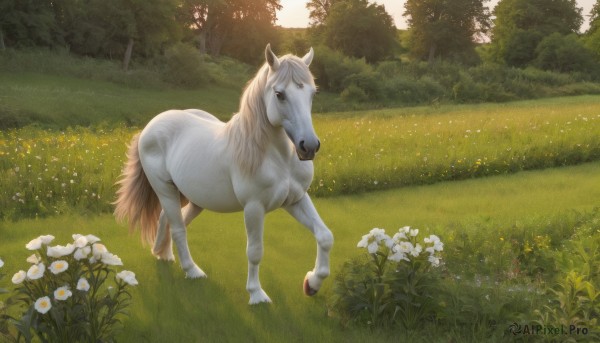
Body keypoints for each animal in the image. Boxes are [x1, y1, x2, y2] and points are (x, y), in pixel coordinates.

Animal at [115, 44, 332, 306]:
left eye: (312, 94)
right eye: (280, 94)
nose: (308, 146)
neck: (277, 157)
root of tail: (148, 127)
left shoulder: (296, 199)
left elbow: (324, 236)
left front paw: (312, 283)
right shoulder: (254, 208)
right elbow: (255, 251)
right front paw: (256, 294)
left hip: (192, 198)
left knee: (168, 220)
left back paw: (163, 255)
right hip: (164, 189)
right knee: (178, 228)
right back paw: (192, 270)